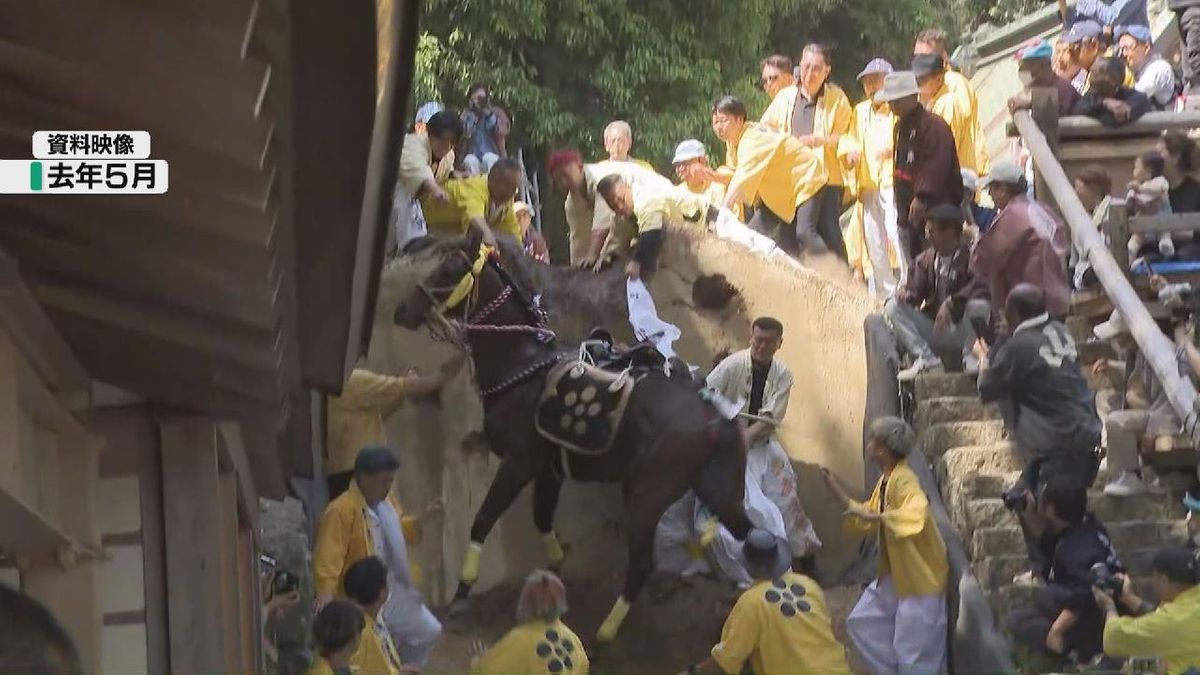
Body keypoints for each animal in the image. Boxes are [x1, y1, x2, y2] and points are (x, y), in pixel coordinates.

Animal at [393, 229, 748, 638]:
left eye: (449, 268)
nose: (402, 309)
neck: (522, 363)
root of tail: (714, 419)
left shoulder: (517, 464)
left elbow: (482, 519)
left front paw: (462, 592)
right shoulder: (549, 471)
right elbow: (542, 519)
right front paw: (552, 575)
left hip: (646, 496)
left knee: (643, 563)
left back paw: (606, 632)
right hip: (717, 491)